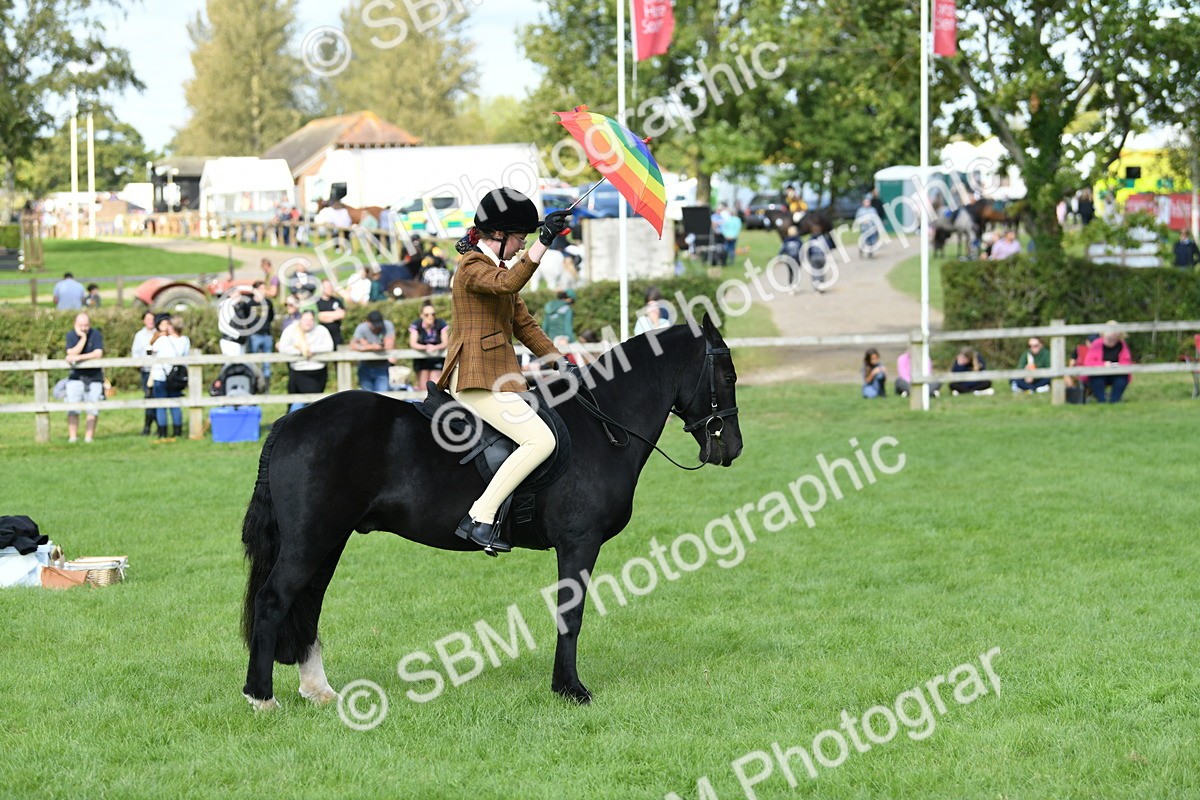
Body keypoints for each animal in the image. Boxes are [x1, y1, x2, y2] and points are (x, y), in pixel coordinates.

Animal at [240, 315, 744, 710]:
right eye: (727, 377)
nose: (732, 448)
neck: (604, 426)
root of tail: (291, 420)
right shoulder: (579, 543)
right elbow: (571, 614)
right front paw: (570, 689)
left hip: (328, 542)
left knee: (308, 604)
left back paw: (318, 690)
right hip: (310, 542)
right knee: (273, 601)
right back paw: (261, 697)